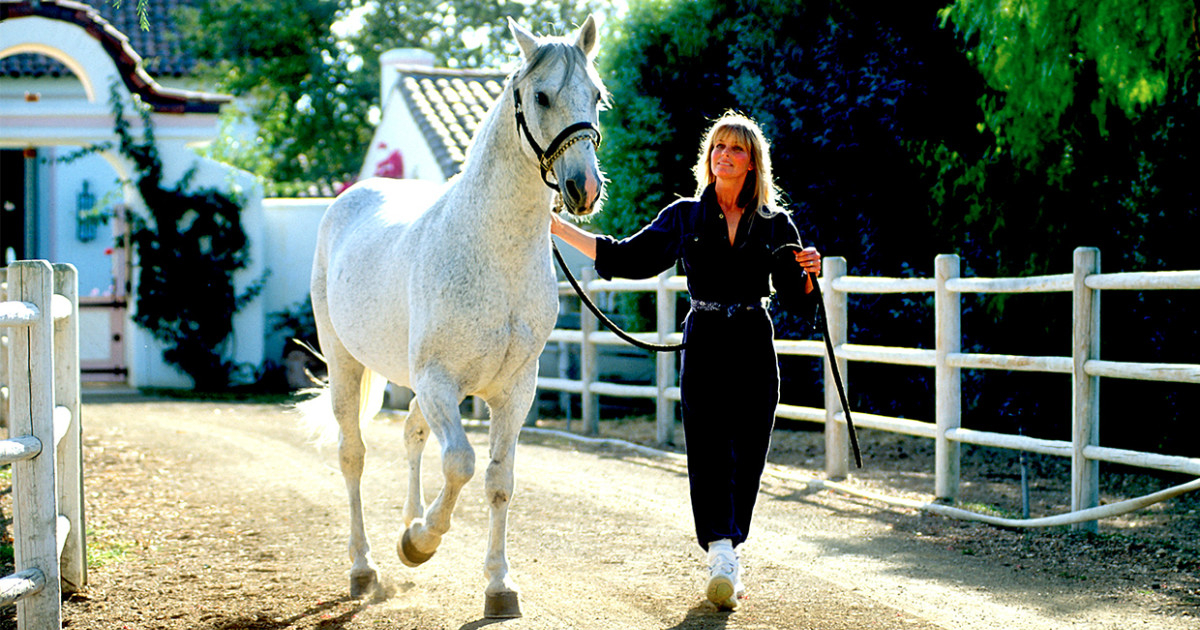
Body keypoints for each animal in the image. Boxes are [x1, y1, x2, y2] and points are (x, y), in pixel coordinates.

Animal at [300, 17, 600, 614]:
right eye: (541, 96)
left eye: (597, 96)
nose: (584, 188)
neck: (493, 251)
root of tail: (350, 197)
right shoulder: (439, 380)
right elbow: (460, 462)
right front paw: (420, 544)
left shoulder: (514, 390)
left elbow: (499, 480)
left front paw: (499, 586)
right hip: (345, 362)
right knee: (353, 455)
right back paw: (365, 567)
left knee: (413, 432)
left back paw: (408, 522)